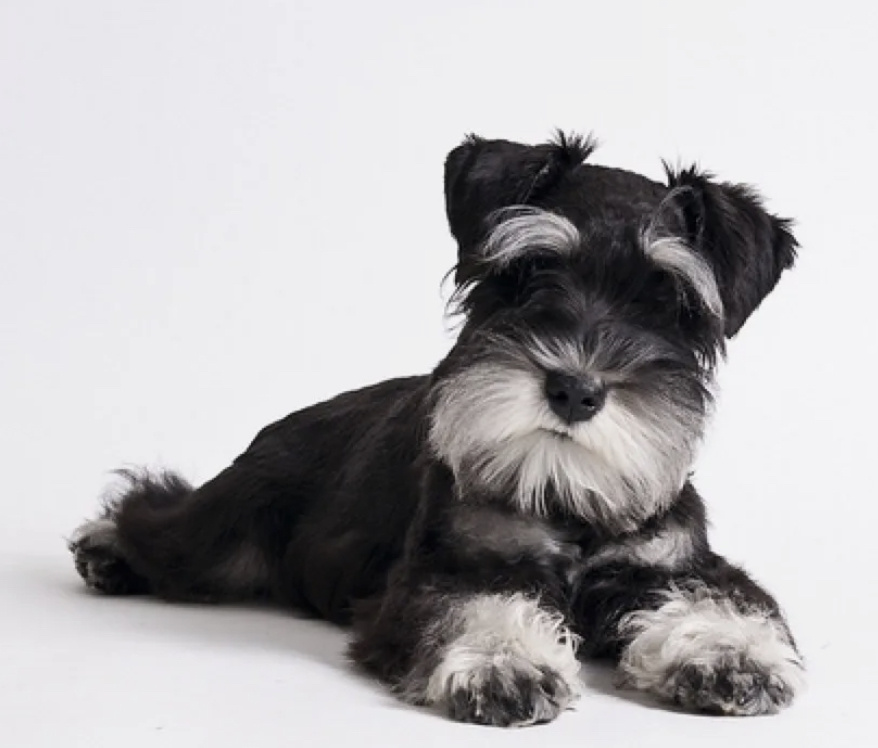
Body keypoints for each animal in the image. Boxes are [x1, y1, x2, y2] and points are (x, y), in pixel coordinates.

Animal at [69, 132, 804, 726]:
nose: (575, 389)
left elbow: (724, 597)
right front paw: (503, 662)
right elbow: (475, 605)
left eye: (669, 303)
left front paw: (731, 653)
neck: (564, 496)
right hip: (228, 524)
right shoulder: (449, 566)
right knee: (160, 513)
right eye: (529, 271)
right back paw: (105, 550)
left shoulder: (673, 563)